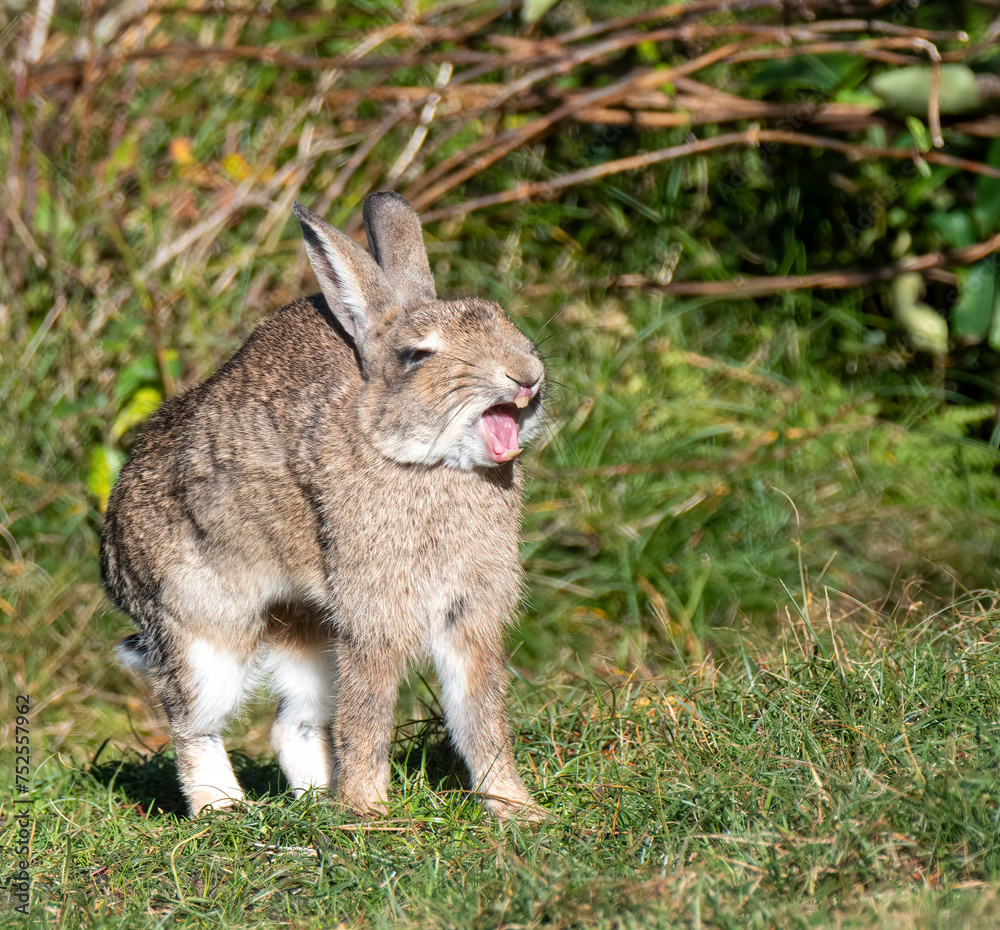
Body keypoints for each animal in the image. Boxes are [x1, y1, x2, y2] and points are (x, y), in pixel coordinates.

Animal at [101, 192, 546, 820]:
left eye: (505, 322)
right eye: (418, 355)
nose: (527, 377)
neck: (420, 460)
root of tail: (111, 556)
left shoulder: (470, 611)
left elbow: (481, 713)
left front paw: (515, 808)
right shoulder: (373, 611)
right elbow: (369, 711)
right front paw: (369, 812)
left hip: (305, 630)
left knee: (295, 723)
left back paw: (316, 800)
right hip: (202, 628)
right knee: (194, 724)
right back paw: (225, 811)